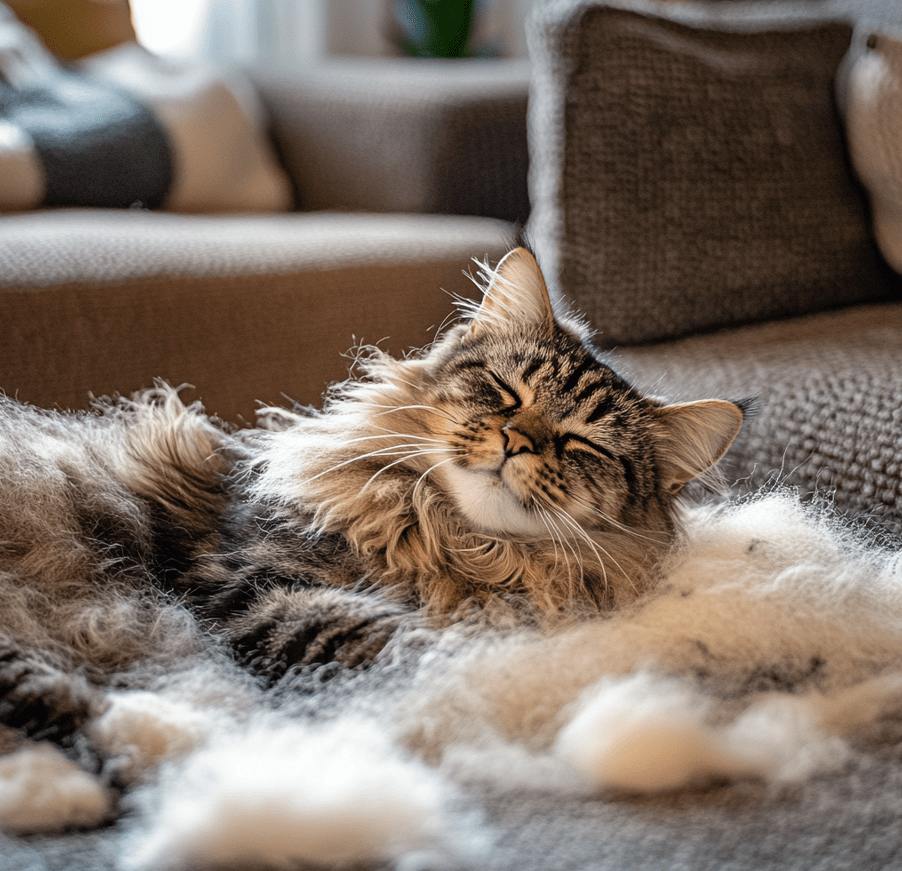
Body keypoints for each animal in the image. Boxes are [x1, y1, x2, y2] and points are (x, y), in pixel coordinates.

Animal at [0, 247, 744, 792]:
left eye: (581, 444)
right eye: (506, 393)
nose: (518, 441)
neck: (457, 543)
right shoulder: (259, 588)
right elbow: (413, 648)